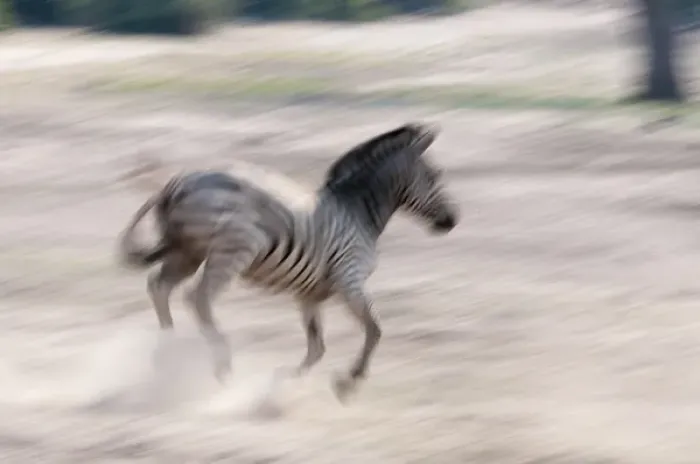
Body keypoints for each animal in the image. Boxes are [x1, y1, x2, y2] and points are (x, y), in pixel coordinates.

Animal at [118, 122, 459, 402]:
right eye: (434, 177)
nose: (452, 221)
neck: (359, 214)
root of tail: (177, 183)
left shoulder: (309, 294)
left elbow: (317, 347)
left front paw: (282, 384)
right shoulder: (349, 278)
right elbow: (374, 329)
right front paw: (348, 383)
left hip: (187, 251)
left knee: (159, 286)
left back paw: (166, 351)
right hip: (232, 251)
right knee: (197, 297)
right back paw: (221, 364)